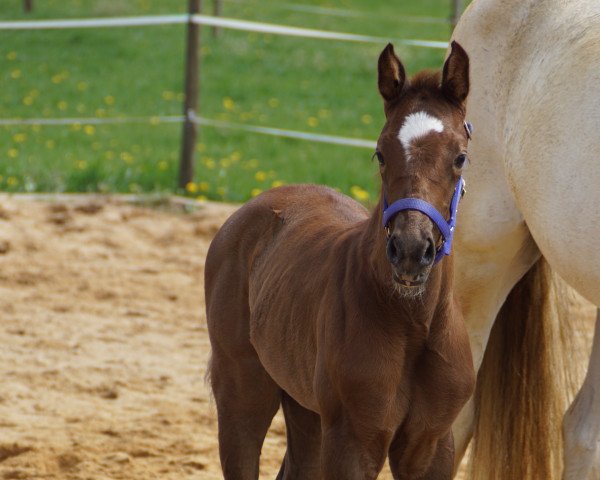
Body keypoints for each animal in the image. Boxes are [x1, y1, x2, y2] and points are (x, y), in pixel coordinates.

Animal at [205, 42, 474, 480]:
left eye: (460, 158)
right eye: (380, 153)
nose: (410, 250)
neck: (413, 324)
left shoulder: (432, 444)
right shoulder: (352, 440)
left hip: (305, 408)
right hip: (243, 391)